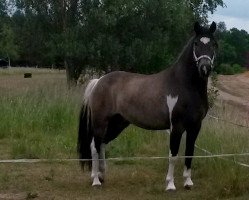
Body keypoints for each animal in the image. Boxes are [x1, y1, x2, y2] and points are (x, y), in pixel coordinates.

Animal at [78, 21, 218, 191]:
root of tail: (98, 81)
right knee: (95, 146)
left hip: (117, 123)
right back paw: (95, 180)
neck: (184, 86)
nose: (205, 68)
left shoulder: (195, 126)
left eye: (214, 44)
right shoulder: (176, 126)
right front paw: (170, 185)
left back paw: (101, 175)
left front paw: (188, 182)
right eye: (196, 43)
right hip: (100, 122)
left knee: (102, 144)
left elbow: (190, 153)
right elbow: (173, 155)